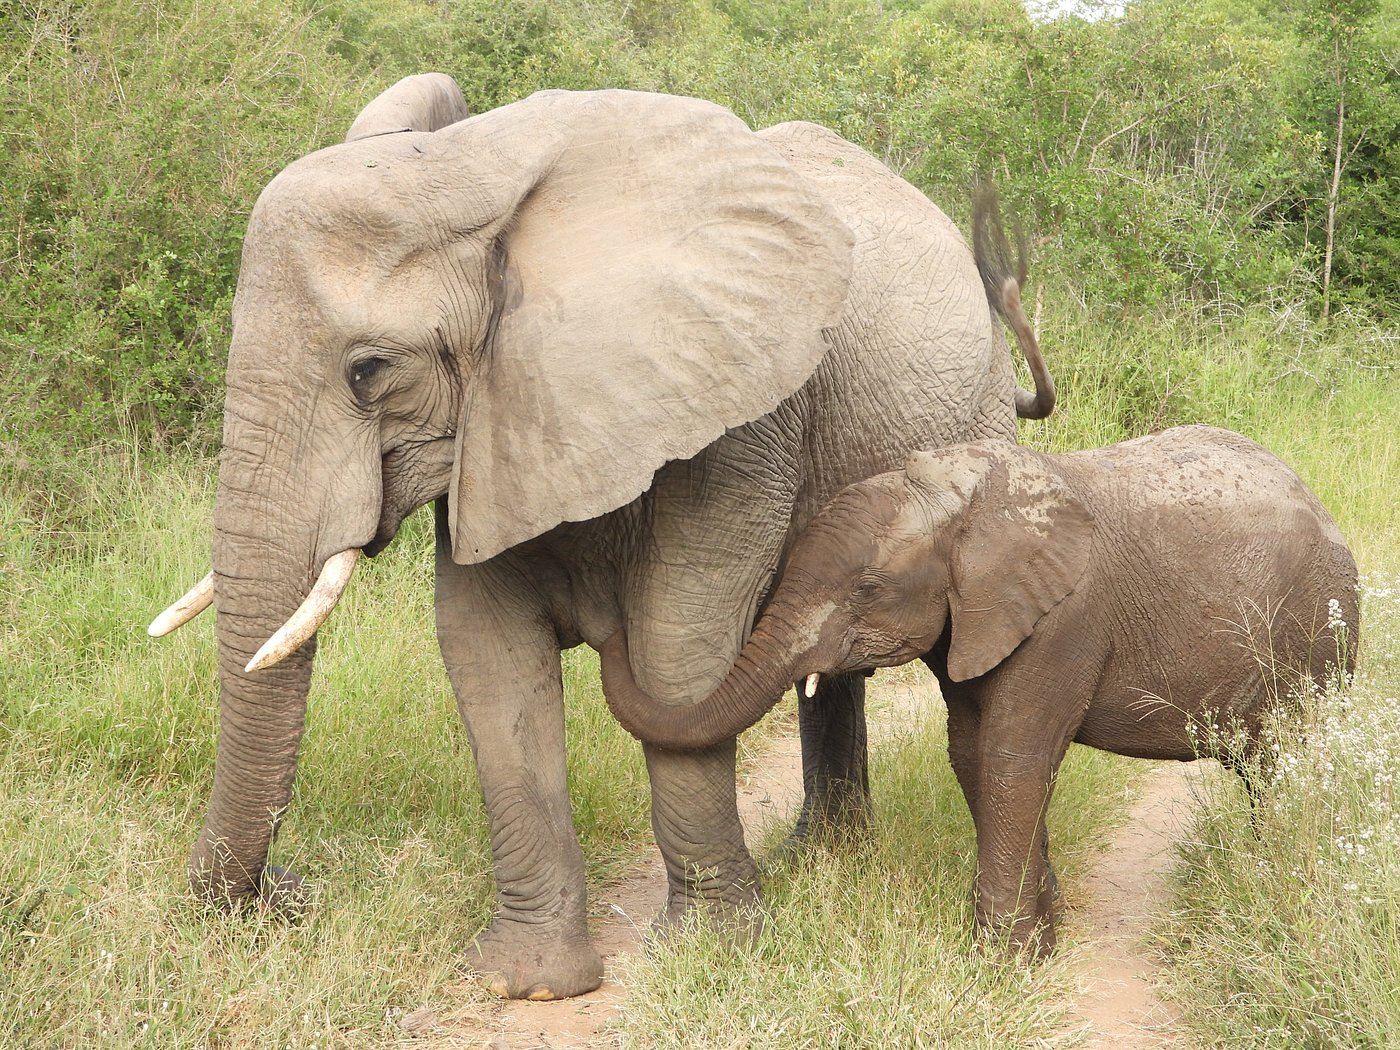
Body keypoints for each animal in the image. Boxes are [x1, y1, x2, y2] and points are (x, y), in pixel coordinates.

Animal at [153, 75, 1052, 1002]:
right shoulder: (500, 420)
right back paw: (821, 859)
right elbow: (485, 654)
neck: (476, 170)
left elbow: (674, 648)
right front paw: (526, 983)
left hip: (975, 414)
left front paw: (710, 954)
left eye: (369, 371)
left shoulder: (737, 412)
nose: (286, 889)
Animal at [599, 428, 1355, 963]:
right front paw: (1039, 944)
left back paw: (1279, 878)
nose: (605, 624)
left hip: (1317, 637)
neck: (959, 497)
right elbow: (970, 752)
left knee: (1291, 760)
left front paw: (999, 962)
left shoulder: (1067, 620)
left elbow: (1011, 754)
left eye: (868, 588)